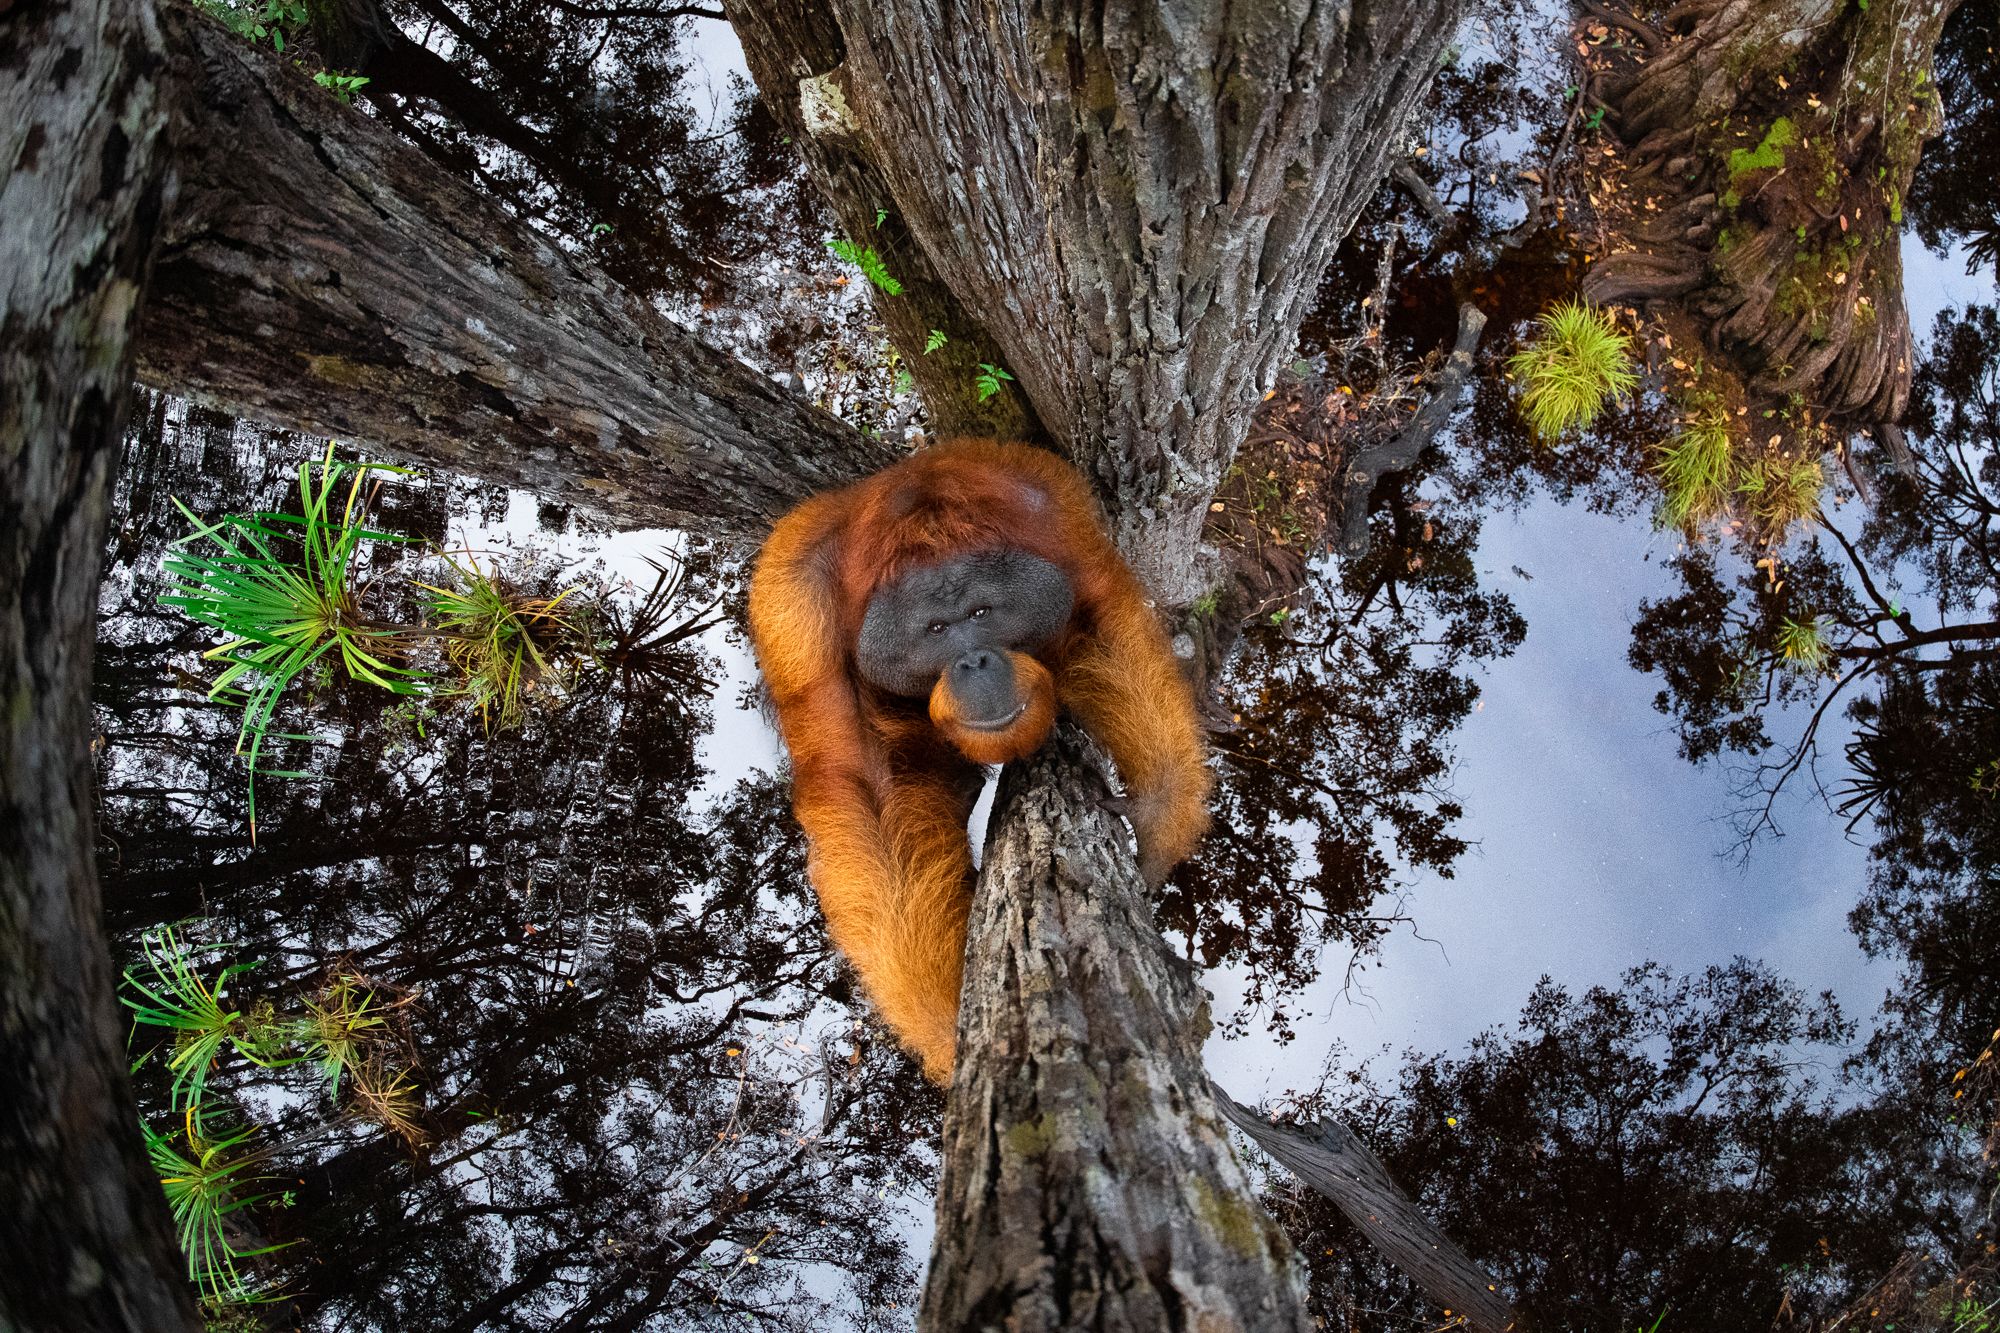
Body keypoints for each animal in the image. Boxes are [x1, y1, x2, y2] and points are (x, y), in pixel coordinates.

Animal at [747, 438, 1211, 1081]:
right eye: (938, 627)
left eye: (982, 614)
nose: (973, 661)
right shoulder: (796, 612)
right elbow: (863, 784)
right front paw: (947, 1025)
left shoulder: (1058, 520)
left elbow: (1102, 627)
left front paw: (1159, 813)